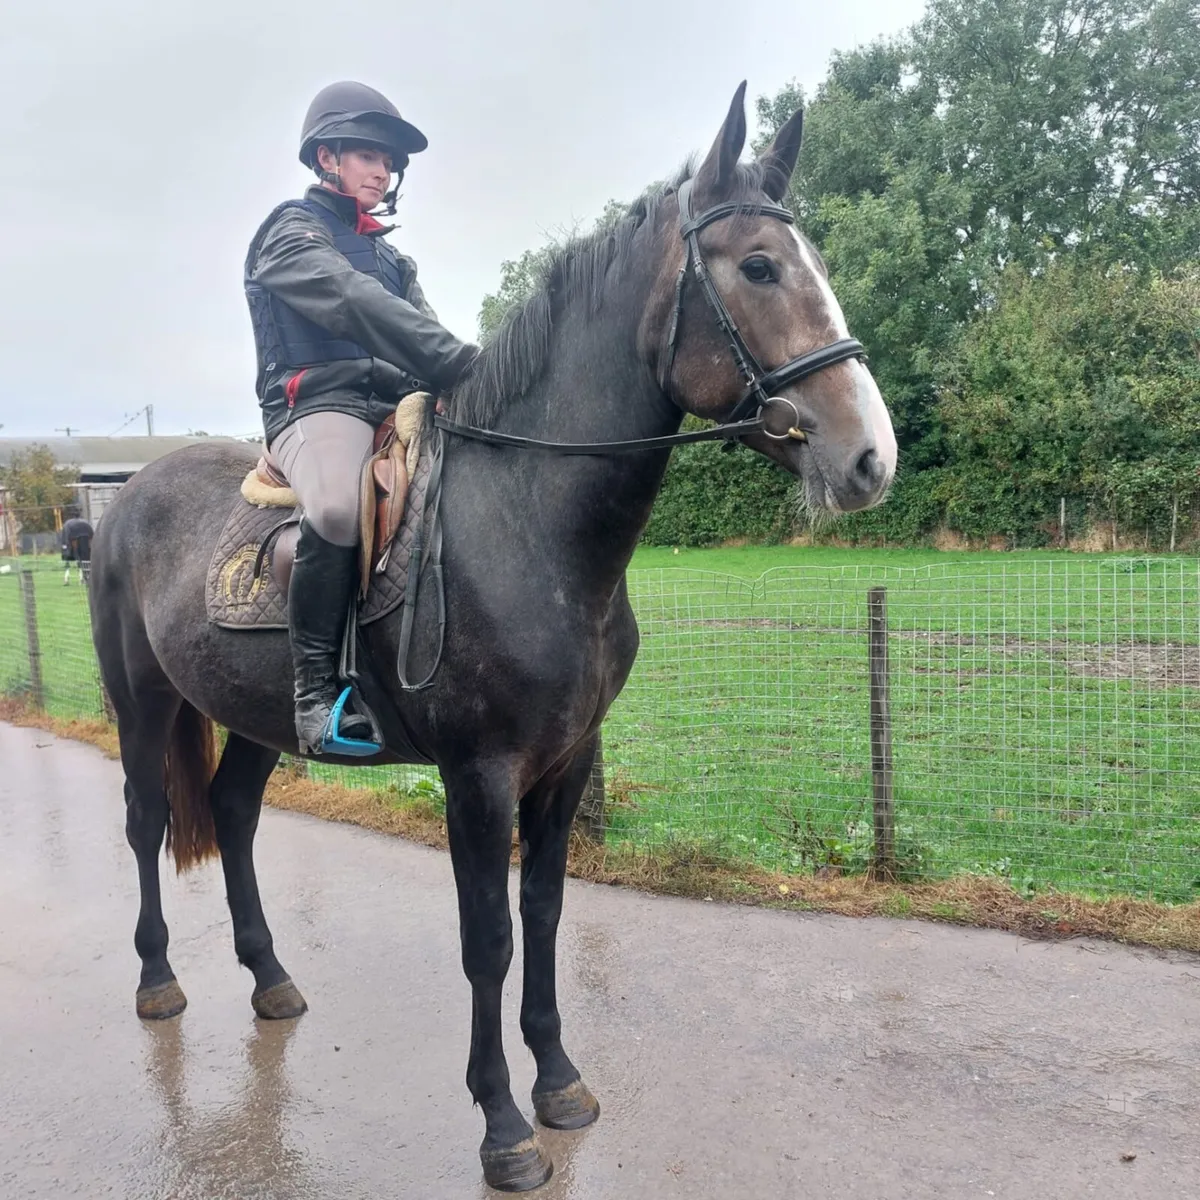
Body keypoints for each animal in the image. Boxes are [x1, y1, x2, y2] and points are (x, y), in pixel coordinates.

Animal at [88, 84, 896, 1192]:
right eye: (761, 267)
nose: (870, 457)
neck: (527, 520)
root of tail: (123, 500)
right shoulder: (479, 775)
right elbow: (489, 941)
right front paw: (504, 1128)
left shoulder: (565, 764)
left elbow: (546, 917)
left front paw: (559, 1084)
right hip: (140, 699)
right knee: (143, 822)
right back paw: (158, 981)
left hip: (253, 718)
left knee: (233, 816)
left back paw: (271, 979)